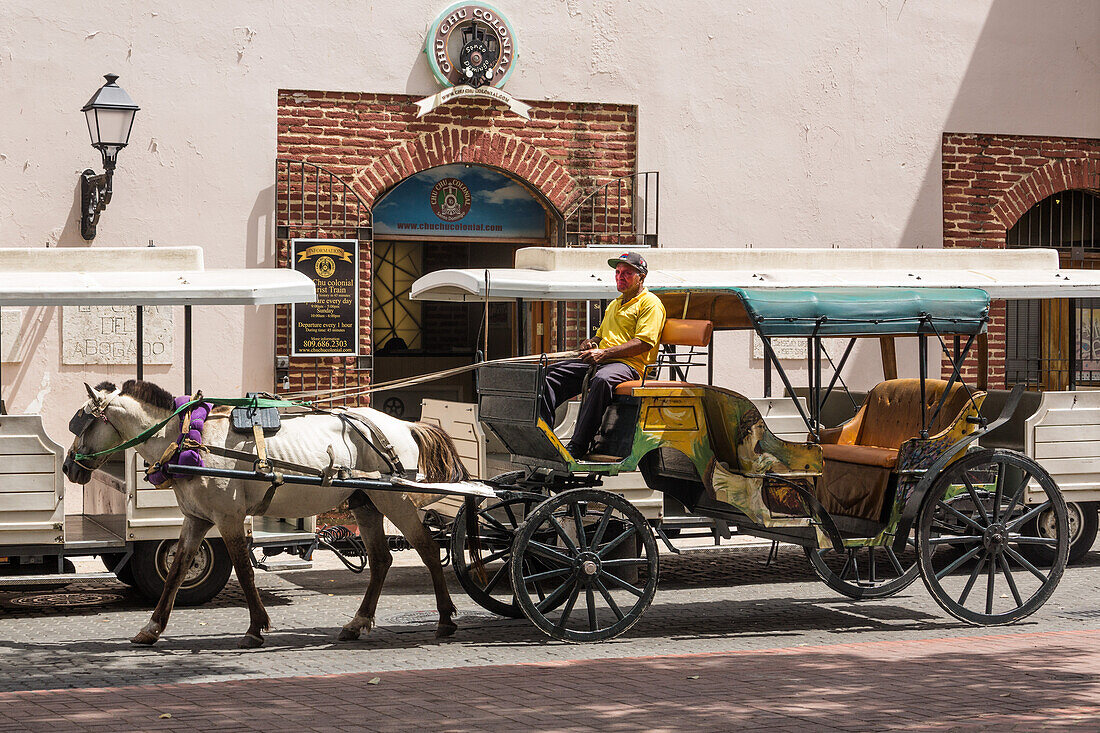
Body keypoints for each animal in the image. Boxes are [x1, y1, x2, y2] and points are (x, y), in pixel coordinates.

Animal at [63, 378, 468, 647]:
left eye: (83, 422)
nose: (68, 467)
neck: (187, 438)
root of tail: (403, 425)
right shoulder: (197, 519)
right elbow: (176, 571)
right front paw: (152, 628)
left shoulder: (228, 518)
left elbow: (243, 571)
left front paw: (256, 626)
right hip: (365, 501)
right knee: (382, 559)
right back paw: (358, 622)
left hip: (394, 499)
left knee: (427, 547)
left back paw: (445, 618)